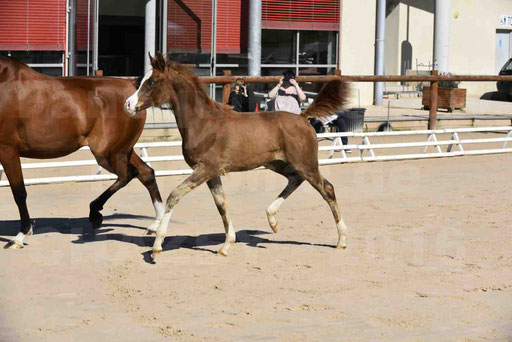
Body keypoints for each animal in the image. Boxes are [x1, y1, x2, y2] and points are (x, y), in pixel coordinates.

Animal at [0, 56, 164, 248]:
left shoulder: (8, 149)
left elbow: (19, 192)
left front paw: (21, 235)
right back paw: (156, 224)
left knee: (128, 174)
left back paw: (95, 213)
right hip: (122, 150)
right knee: (146, 173)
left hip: (107, 152)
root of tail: (131, 87)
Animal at [126, 52, 352, 260]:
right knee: (295, 180)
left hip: (305, 164)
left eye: (152, 82)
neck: (203, 123)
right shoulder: (212, 173)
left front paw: (157, 245)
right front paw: (226, 245)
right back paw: (272, 220)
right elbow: (221, 204)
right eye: (142, 81)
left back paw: (341, 240)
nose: (128, 104)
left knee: (327, 189)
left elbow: (174, 195)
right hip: (278, 164)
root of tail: (303, 117)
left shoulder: (205, 168)